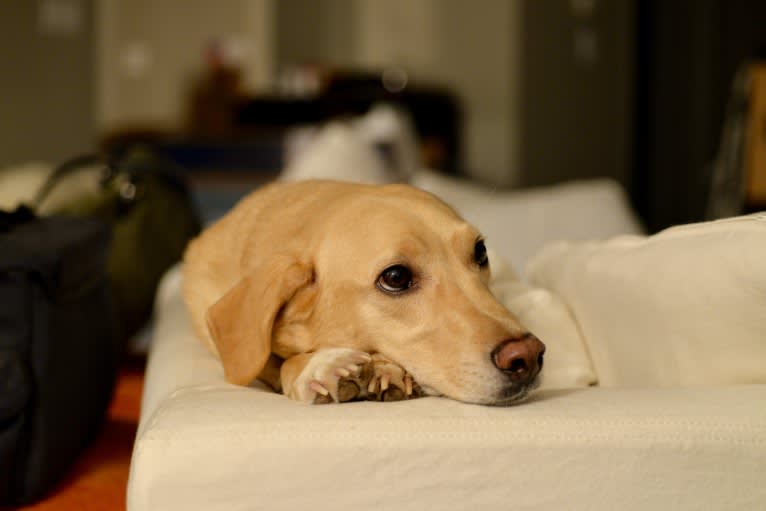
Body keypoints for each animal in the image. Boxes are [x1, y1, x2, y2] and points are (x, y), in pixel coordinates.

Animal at [183, 182, 544, 406]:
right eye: (396, 277)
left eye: (480, 251)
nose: (528, 357)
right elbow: (273, 363)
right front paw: (319, 365)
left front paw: (387, 369)